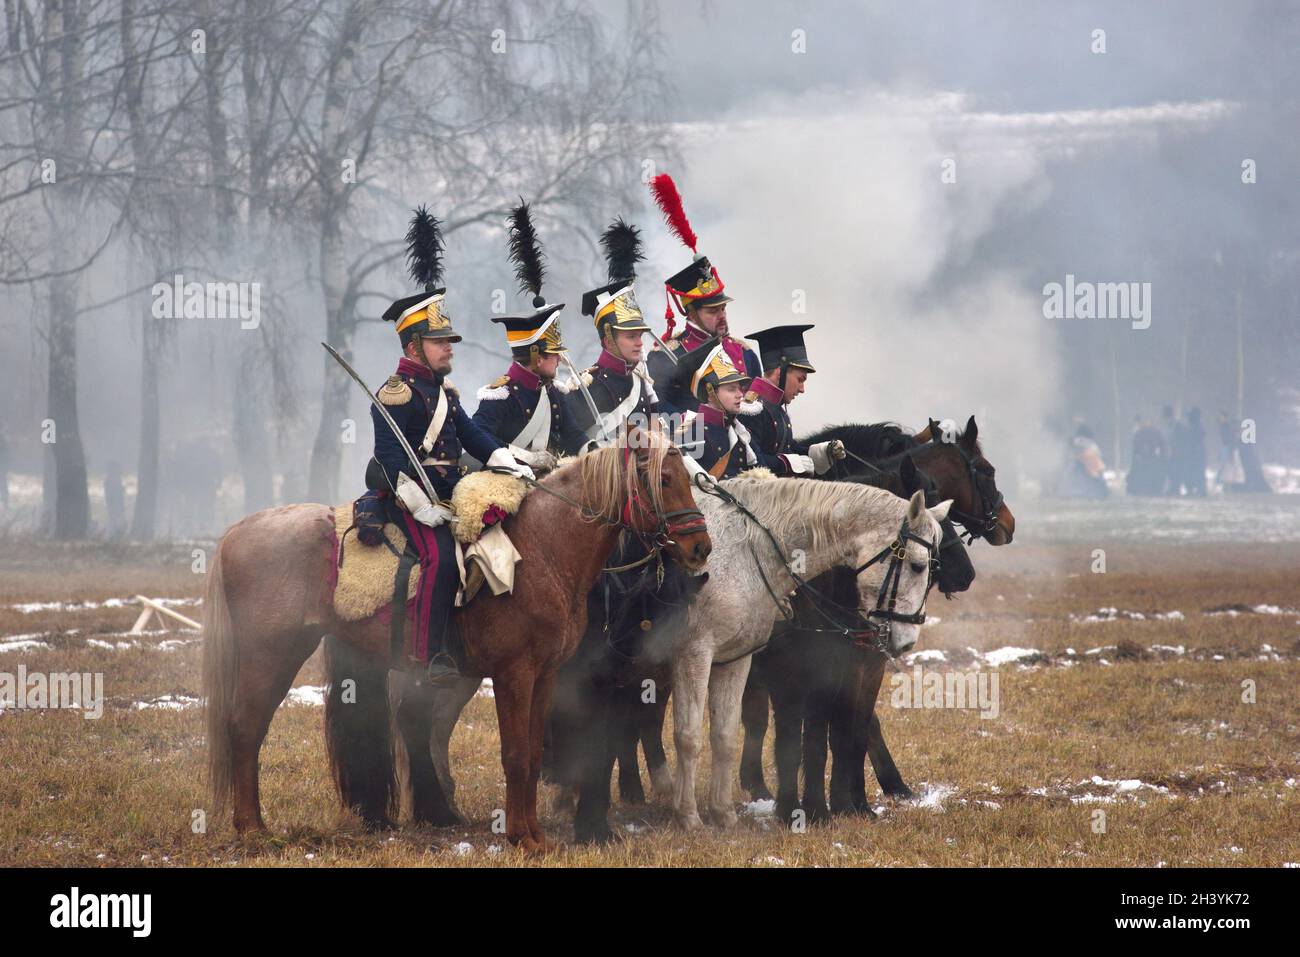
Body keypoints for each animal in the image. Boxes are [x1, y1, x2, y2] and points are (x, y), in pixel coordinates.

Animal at [200, 426, 712, 852]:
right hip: (272, 655)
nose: (700, 548)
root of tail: (237, 531)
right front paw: (522, 838)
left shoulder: (546, 675)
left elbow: (532, 754)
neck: (544, 547)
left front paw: (537, 836)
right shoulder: (514, 675)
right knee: (246, 727)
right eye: (663, 479)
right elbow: (517, 753)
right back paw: (252, 828)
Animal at [665, 478, 951, 832]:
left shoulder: (745, 660)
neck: (743, 551)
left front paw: (845, 806)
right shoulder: (700, 655)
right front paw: (801, 810)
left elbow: (839, 732)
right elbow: (793, 739)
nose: (907, 640)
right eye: (917, 565)